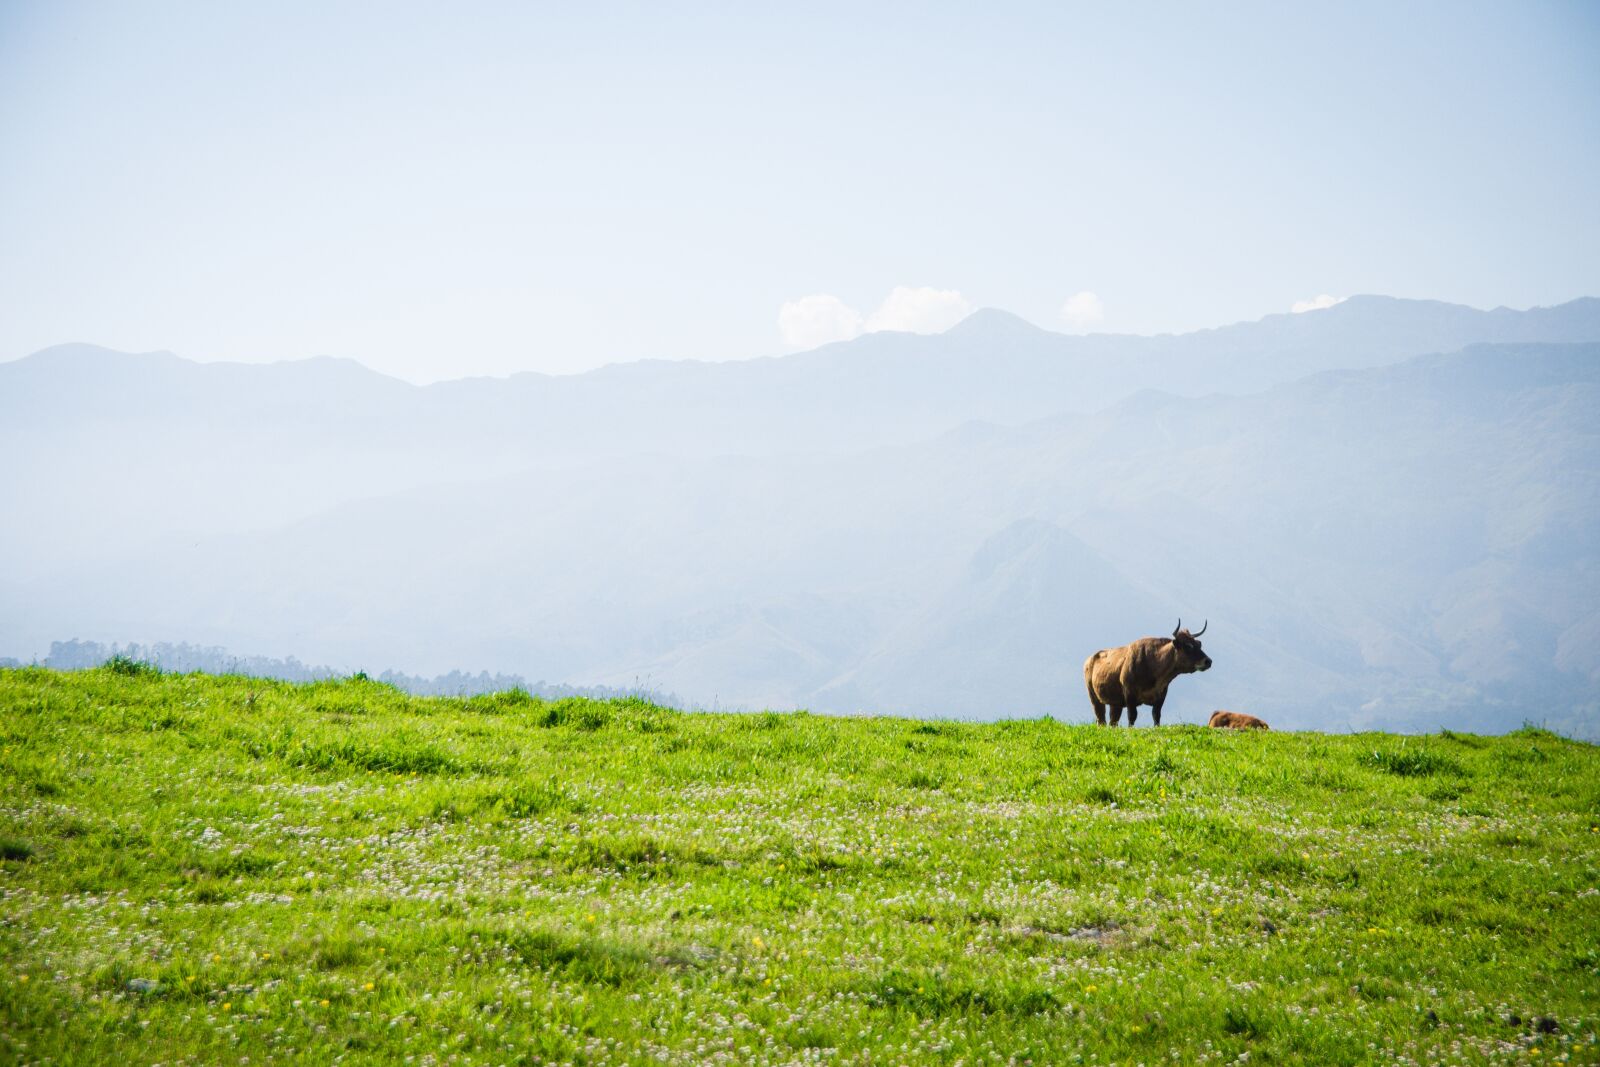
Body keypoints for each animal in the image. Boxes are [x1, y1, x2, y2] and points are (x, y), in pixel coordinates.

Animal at [1084, 620, 1212, 726]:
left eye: (1198, 644)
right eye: (1188, 646)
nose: (1208, 661)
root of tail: (1089, 659)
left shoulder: (1161, 694)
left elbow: (1156, 716)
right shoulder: (1129, 693)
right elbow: (1132, 716)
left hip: (1115, 703)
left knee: (1112, 721)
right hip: (1094, 697)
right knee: (1101, 719)